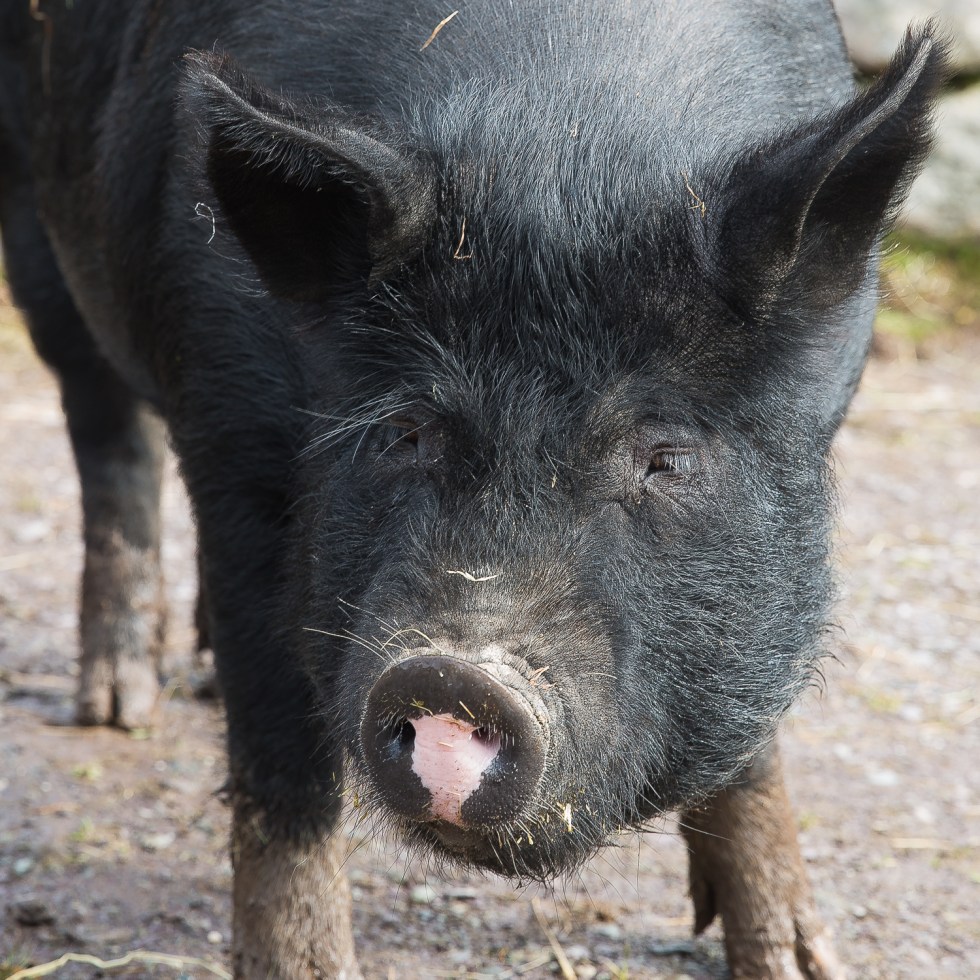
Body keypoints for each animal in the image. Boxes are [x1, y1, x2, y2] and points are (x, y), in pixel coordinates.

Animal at [0, 0, 947, 976]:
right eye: (404, 431)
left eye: (666, 457)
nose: (455, 675)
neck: (564, 139)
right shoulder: (230, 432)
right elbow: (279, 764)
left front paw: (803, 961)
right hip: (33, 220)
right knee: (104, 429)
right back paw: (118, 707)